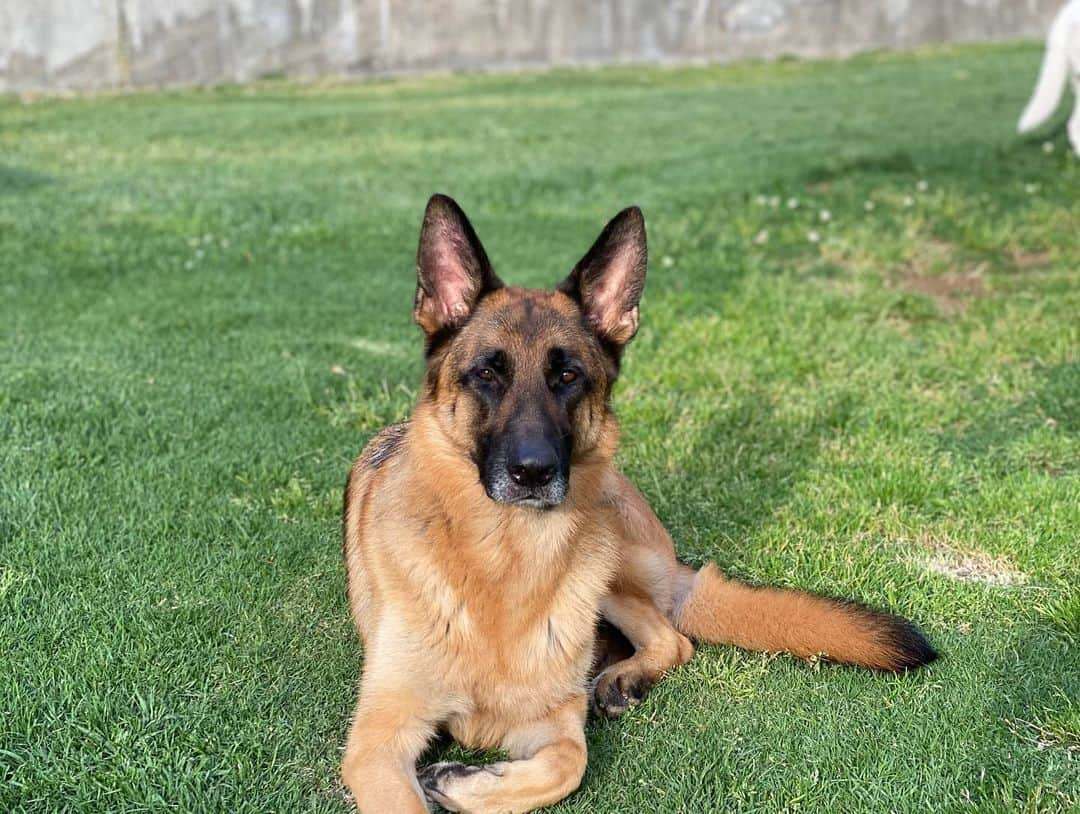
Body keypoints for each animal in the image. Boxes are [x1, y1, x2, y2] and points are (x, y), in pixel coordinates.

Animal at [339, 193, 937, 807]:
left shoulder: (555, 723)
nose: (533, 472)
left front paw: (461, 782)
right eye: (486, 373)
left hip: (611, 555)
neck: (504, 565)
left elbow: (569, 764)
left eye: (567, 376)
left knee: (673, 637)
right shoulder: (376, 746)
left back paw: (622, 675)